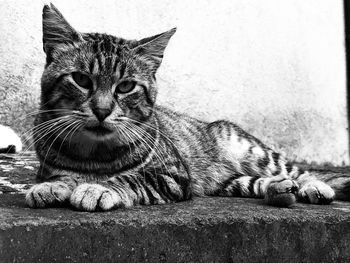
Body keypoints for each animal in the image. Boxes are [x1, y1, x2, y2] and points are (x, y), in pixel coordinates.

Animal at [26, 4, 350, 212]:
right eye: (81, 79)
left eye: (126, 87)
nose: (103, 110)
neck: (94, 154)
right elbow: (60, 176)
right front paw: (54, 186)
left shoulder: (173, 176)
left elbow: (133, 178)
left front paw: (99, 187)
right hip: (229, 181)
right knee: (259, 182)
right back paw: (279, 189)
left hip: (251, 151)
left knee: (301, 172)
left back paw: (313, 187)